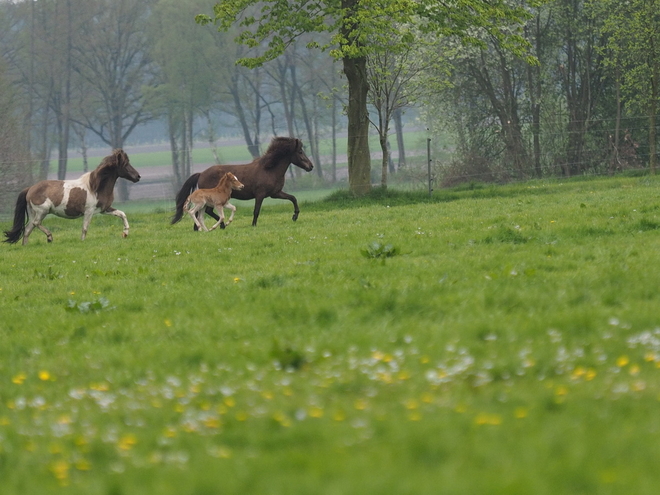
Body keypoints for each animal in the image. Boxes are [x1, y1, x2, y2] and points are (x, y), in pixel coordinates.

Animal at [3, 149, 140, 246]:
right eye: (126, 164)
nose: (138, 177)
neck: (95, 187)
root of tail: (30, 189)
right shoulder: (89, 211)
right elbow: (85, 228)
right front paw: (82, 242)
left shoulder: (104, 209)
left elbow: (122, 214)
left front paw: (125, 233)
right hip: (43, 211)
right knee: (36, 223)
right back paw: (49, 237)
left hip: (34, 213)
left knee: (27, 230)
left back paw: (25, 246)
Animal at [170, 137, 314, 228]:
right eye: (300, 151)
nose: (311, 166)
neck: (269, 169)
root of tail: (201, 173)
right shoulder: (260, 195)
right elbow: (256, 211)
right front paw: (253, 225)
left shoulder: (276, 193)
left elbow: (293, 198)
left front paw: (295, 216)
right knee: (205, 212)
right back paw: (221, 225)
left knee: (202, 212)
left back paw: (203, 227)